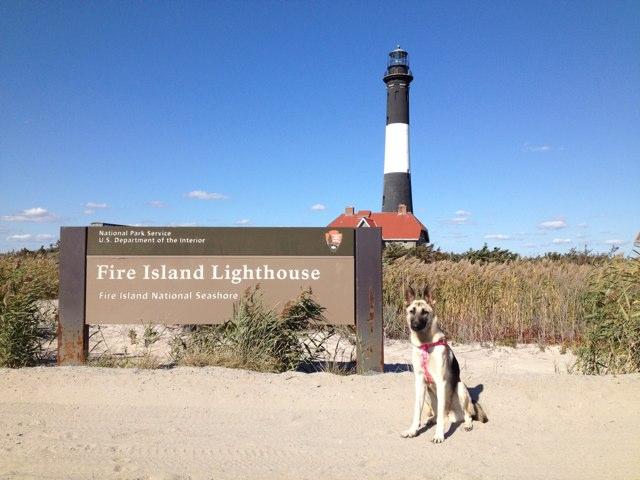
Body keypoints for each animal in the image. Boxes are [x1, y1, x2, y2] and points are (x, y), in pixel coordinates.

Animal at [402, 284, 488, 442]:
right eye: (412, 311)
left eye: (425, 312)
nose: (415, 325)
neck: (426, 344)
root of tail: (451, 416)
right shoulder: (420, 382)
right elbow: (417, 411)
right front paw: (412, 430)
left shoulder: (441, 382)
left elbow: (441, 416)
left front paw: (439, 435)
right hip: (428, 395)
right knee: (437, 415)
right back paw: (431, 419)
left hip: (460, 387)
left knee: (466, 415)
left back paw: (467, 424)